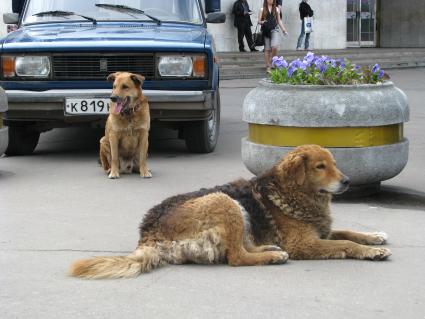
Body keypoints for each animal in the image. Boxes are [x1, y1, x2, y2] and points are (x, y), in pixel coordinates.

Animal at [70, 146, 390, 280]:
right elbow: (345, 242)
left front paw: (375, 237)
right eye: (320, 166)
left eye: (334, 163)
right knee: (236, 257)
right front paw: (370, 252)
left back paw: (270, 249)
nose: (347, 181)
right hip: (224, 202)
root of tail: (148, 234)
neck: (293, 191)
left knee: (240, 249)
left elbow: (349, 232)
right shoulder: (304, 243)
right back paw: (272, 256)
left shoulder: (320, 231)